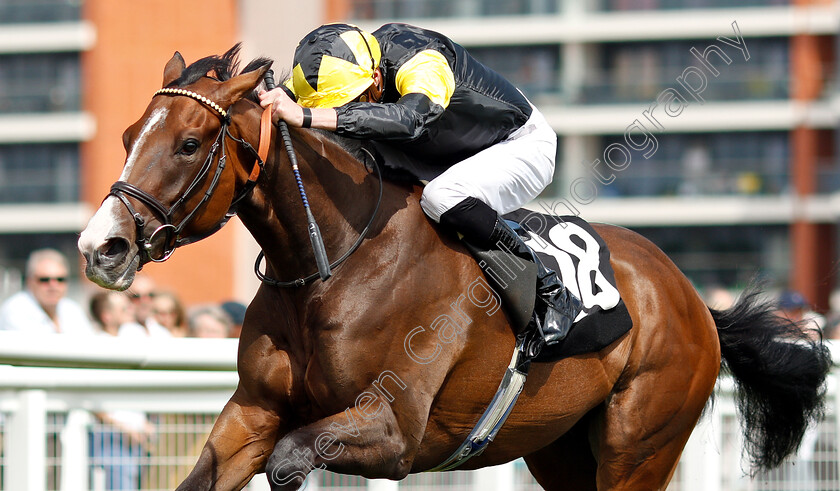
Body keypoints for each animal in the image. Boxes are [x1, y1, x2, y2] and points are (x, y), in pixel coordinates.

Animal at [80, 47, 832, 491]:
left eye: (188, 143)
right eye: (127, 136)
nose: (101, 246)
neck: (332, 262)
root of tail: (697, 301)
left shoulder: (393, 427)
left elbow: (291, 460)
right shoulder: (253, 411)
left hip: (640, 443)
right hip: (562, 447)